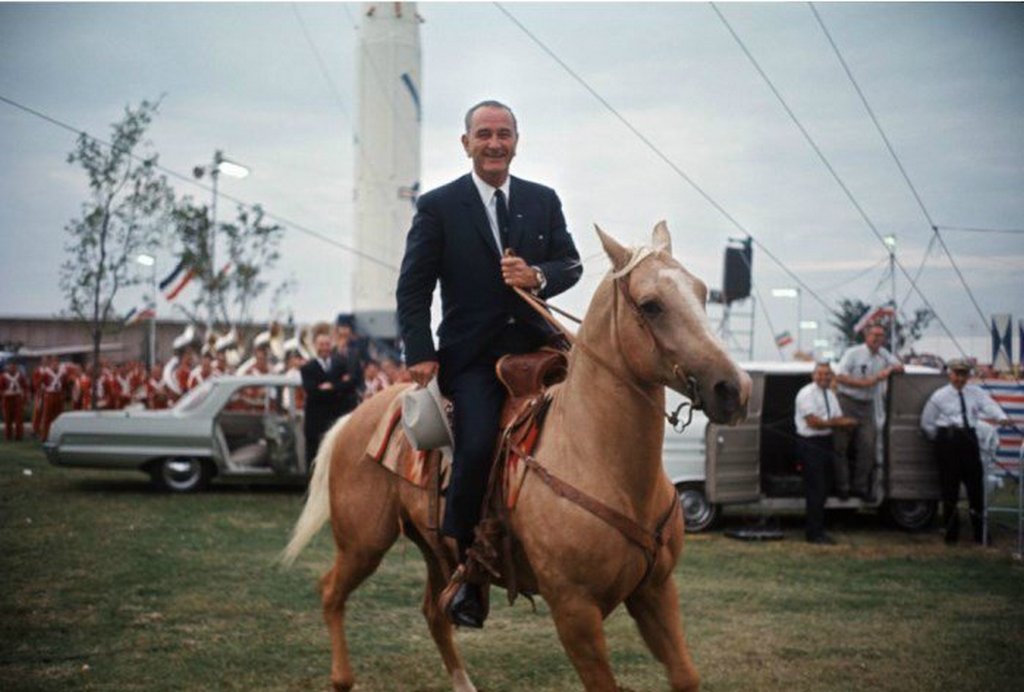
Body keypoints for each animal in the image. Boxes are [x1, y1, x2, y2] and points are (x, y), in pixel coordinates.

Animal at [284, 222, 749, 692]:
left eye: (702, 292)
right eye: (651, 305)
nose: (734, 388)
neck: (601, 460)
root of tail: (357, 415)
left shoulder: (656, 589)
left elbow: (686, 676)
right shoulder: (575, 612)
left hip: (436, 548)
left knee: (434, 612)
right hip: (364, 542)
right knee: (330, 591)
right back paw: (342, 678)